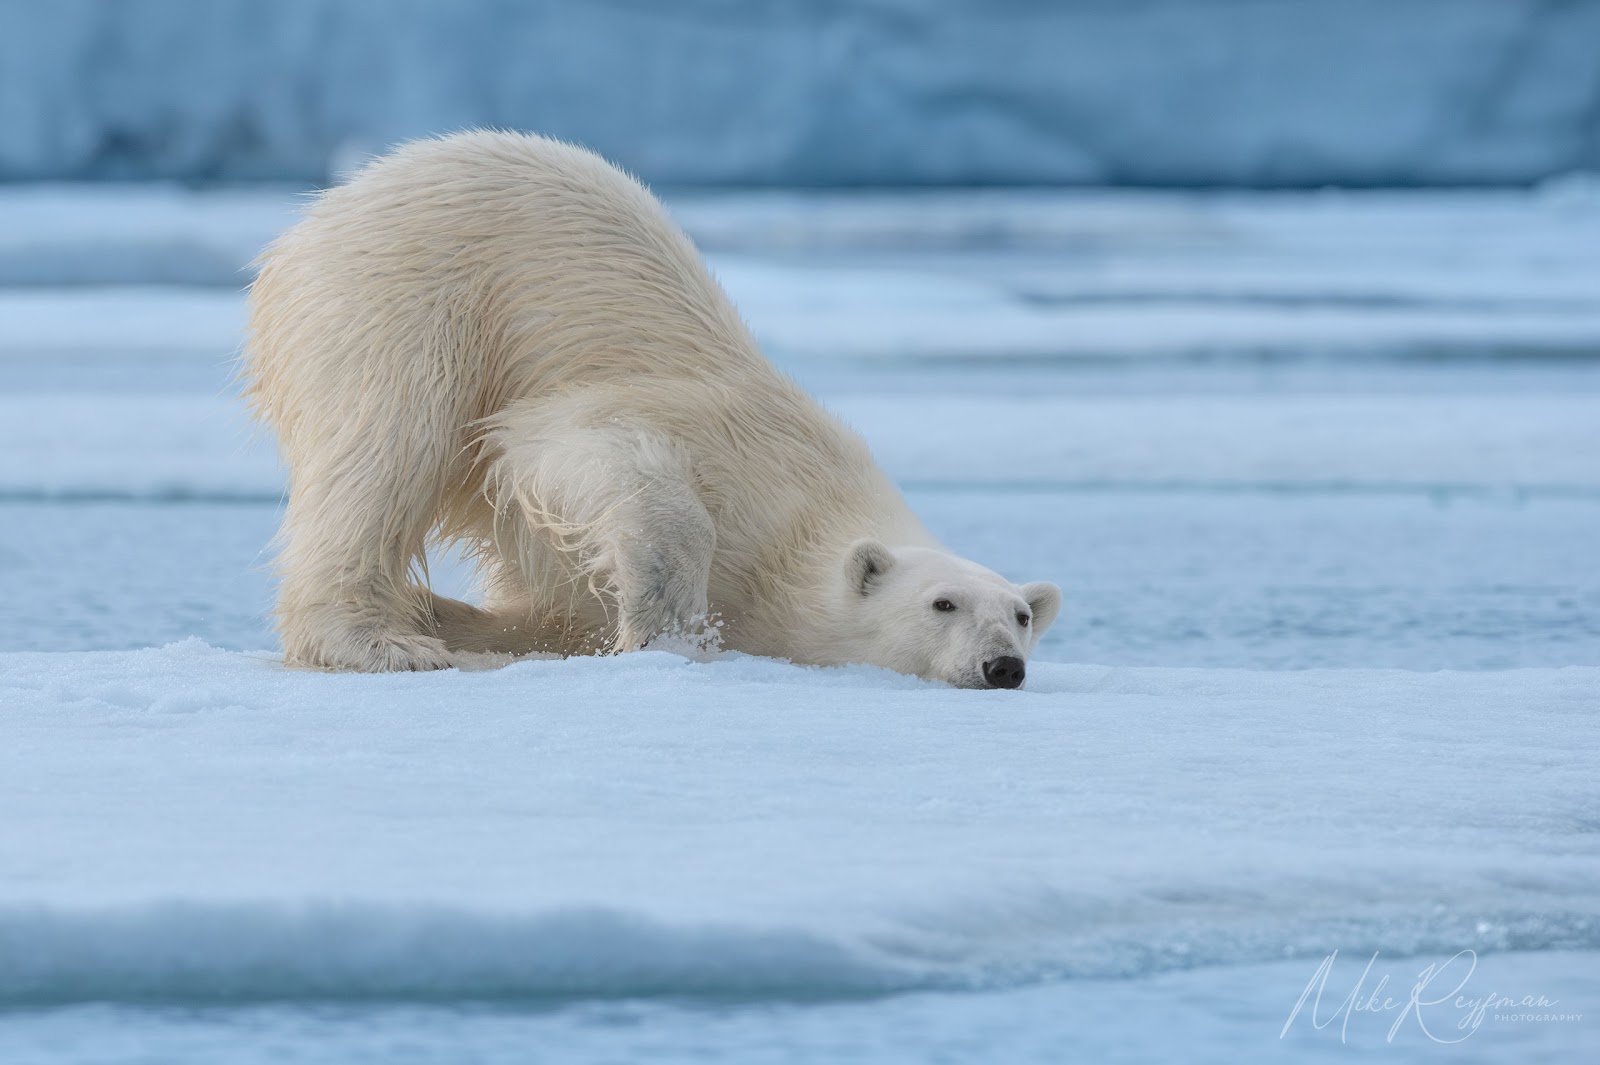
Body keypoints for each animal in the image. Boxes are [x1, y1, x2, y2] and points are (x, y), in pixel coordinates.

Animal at [243, 130, 1060, 689]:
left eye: (1021, 616)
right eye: (943, 604)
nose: (1002, 666)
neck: (800, 533)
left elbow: (558, 612)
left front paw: (458, 617)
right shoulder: (722, 443)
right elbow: (577, 450)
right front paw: (670, 635)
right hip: (402, 300)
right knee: (385, 450)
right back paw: (379, 642)